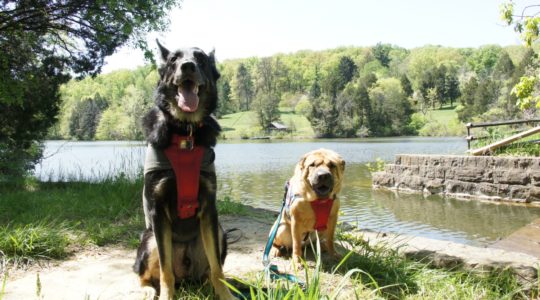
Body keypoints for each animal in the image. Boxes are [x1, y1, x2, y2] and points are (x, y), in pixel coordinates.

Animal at [133, 40, 234, 300]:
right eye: (173, 60)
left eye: (201, 59)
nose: (187, 66)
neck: (185, 131)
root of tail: (186, 278)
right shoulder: (158, 211)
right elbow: (165, 270)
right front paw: (167, 296)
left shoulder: (209, 208)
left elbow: (218, 269)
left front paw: (225, 294)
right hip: (149, 239)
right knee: (146, 274)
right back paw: (148, 290)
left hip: (220, 232)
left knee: (209, 270)